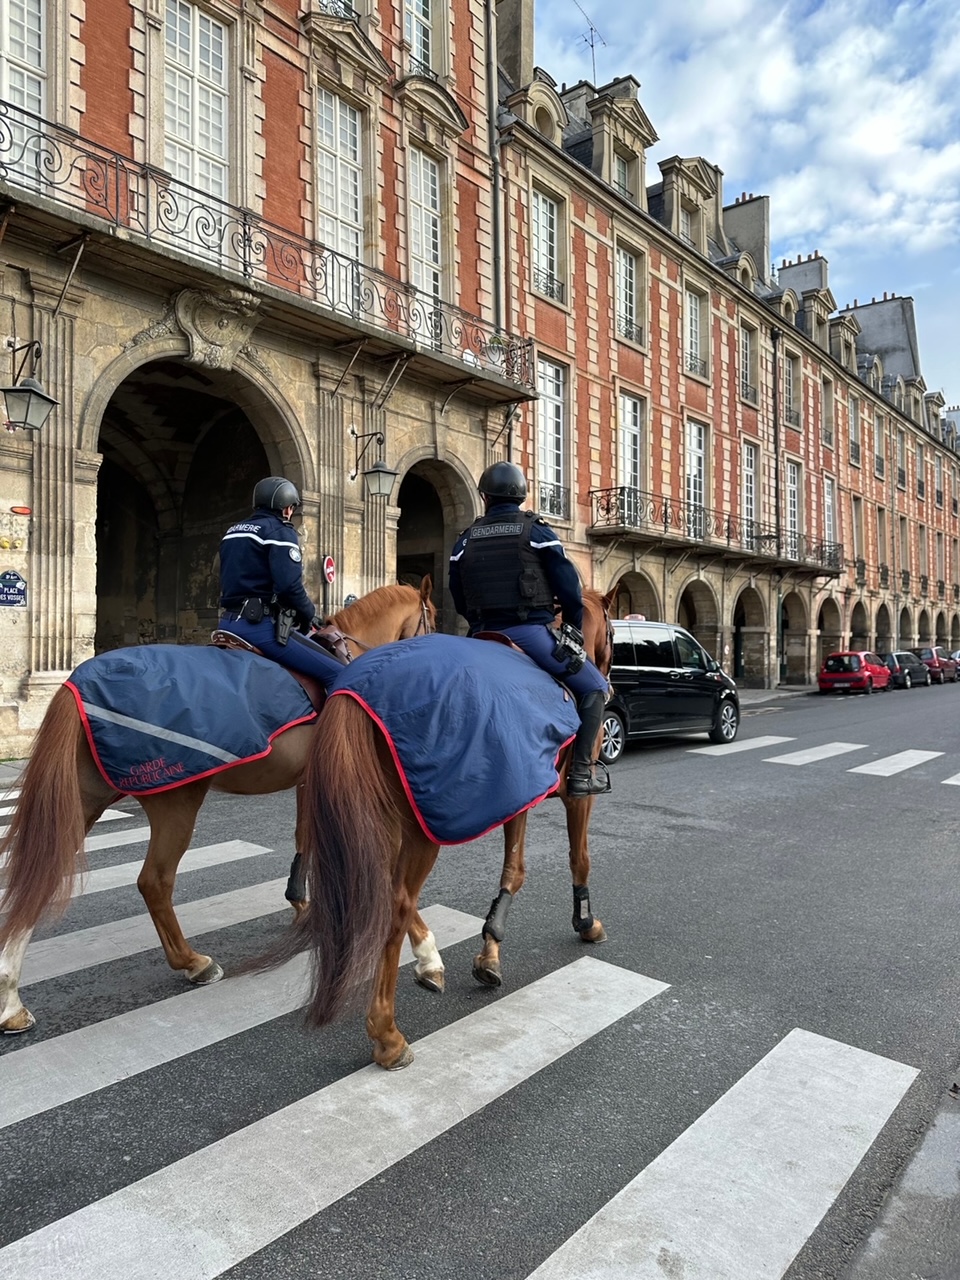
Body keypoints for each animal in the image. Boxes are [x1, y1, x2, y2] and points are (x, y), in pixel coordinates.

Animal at [0, 576, 435, 1034]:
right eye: (433, 617)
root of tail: (76, 684)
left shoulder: (312, 781)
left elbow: (305, 836)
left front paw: (301, 901)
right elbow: (381, 867)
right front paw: (425, 952)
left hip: (87, 797)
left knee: (37, 875)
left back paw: (11, 998)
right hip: (176, 798)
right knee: (153, 881)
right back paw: (193, 962)